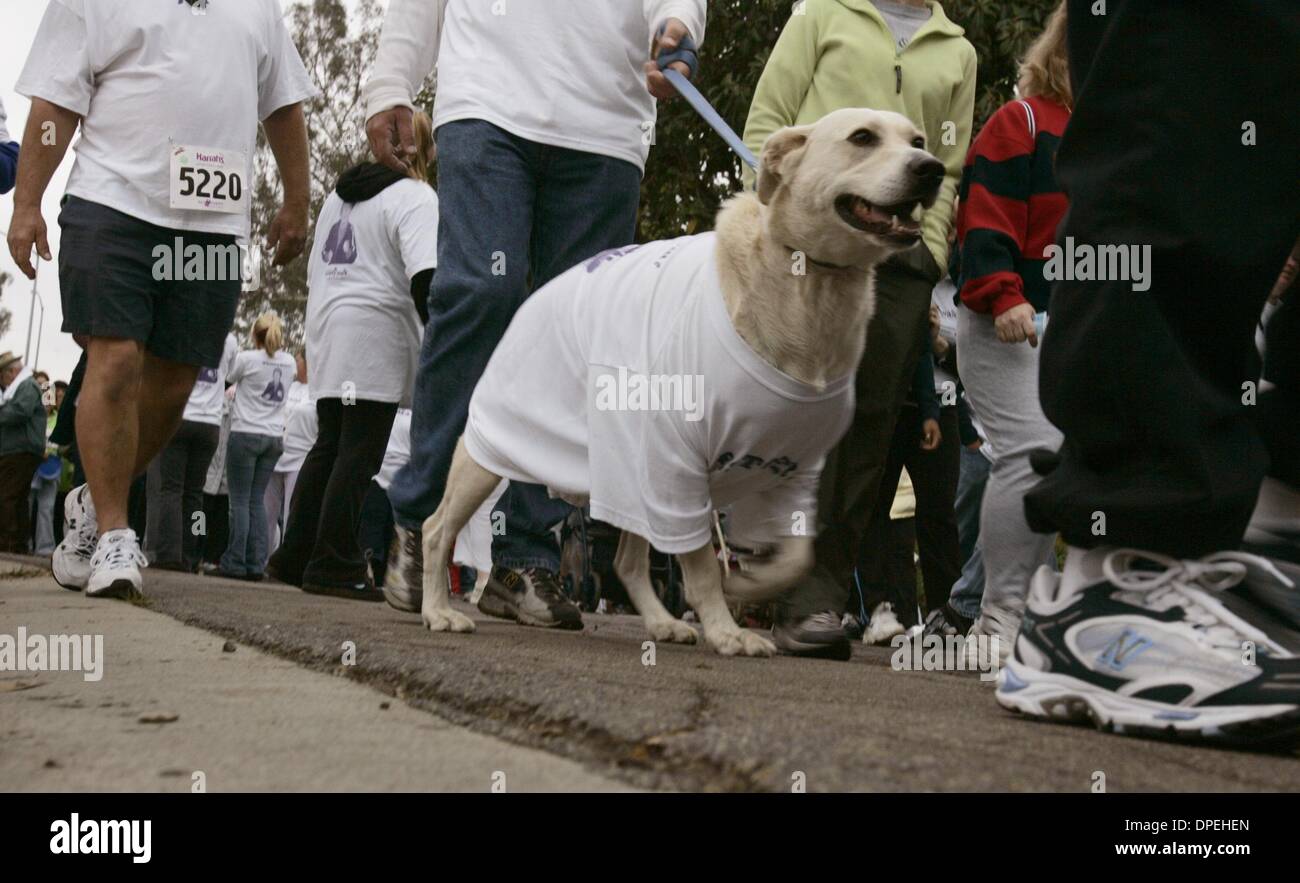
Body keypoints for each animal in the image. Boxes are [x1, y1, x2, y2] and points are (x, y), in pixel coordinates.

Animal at [421, 108, 941, 655]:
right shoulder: (681, 463)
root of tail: (538, 291)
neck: (803, 281)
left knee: (627, 563)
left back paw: (661, 622)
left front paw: (748, 587)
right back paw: (435, 609)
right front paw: (728, 630)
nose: (931, 169)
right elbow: (701, 566)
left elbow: (795, 557)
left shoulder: (794, 467)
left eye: (918, 140)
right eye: (862, 138)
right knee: (437, 528)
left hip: (634, 472)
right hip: (496, 448)